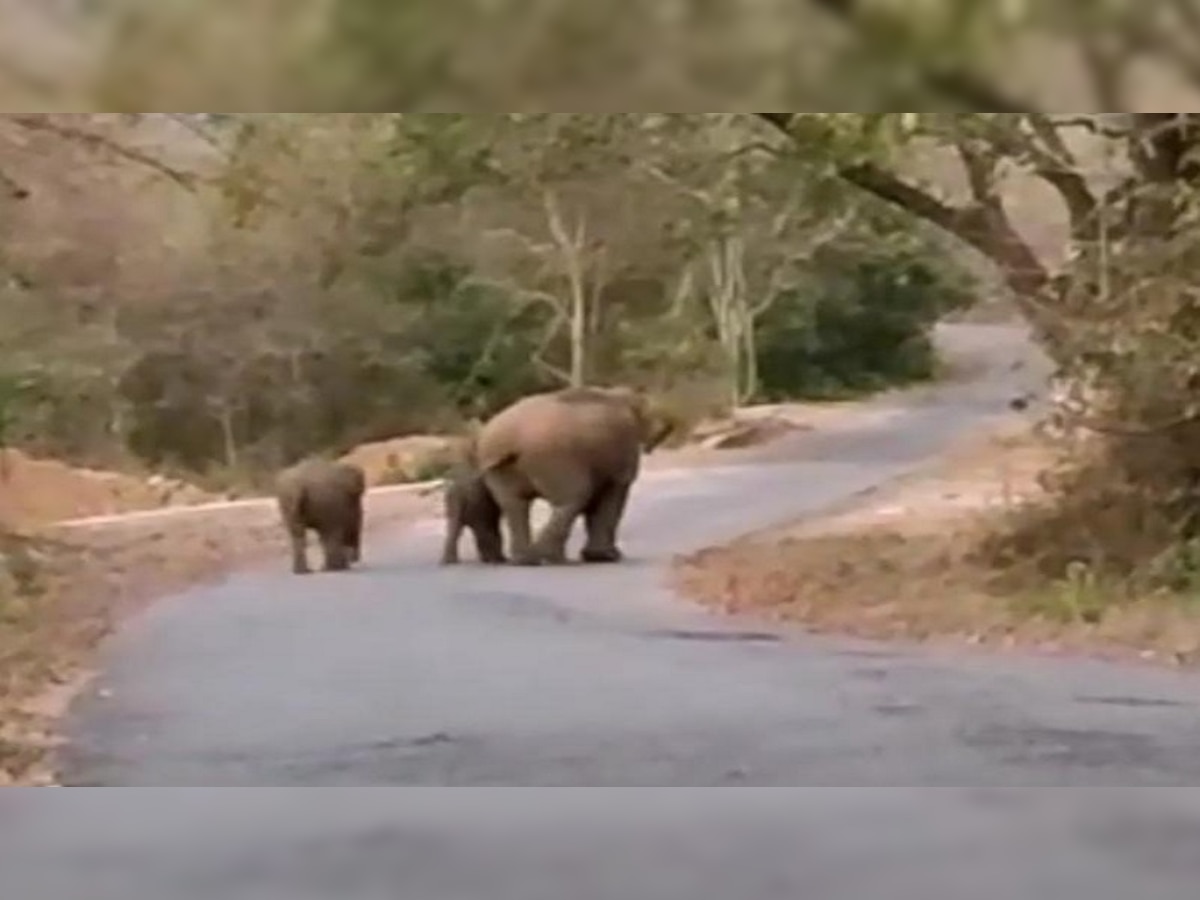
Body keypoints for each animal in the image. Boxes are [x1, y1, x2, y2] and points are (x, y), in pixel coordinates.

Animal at [470, 386, 676, 566]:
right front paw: (606, 557)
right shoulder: (623, 452)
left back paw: (526, 560)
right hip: (554, 457)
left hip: (500, 467)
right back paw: (547, 558)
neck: (619, 395)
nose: (669, 427)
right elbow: (611, 497)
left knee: (514, 505)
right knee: (572, 499)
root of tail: (508, 440)